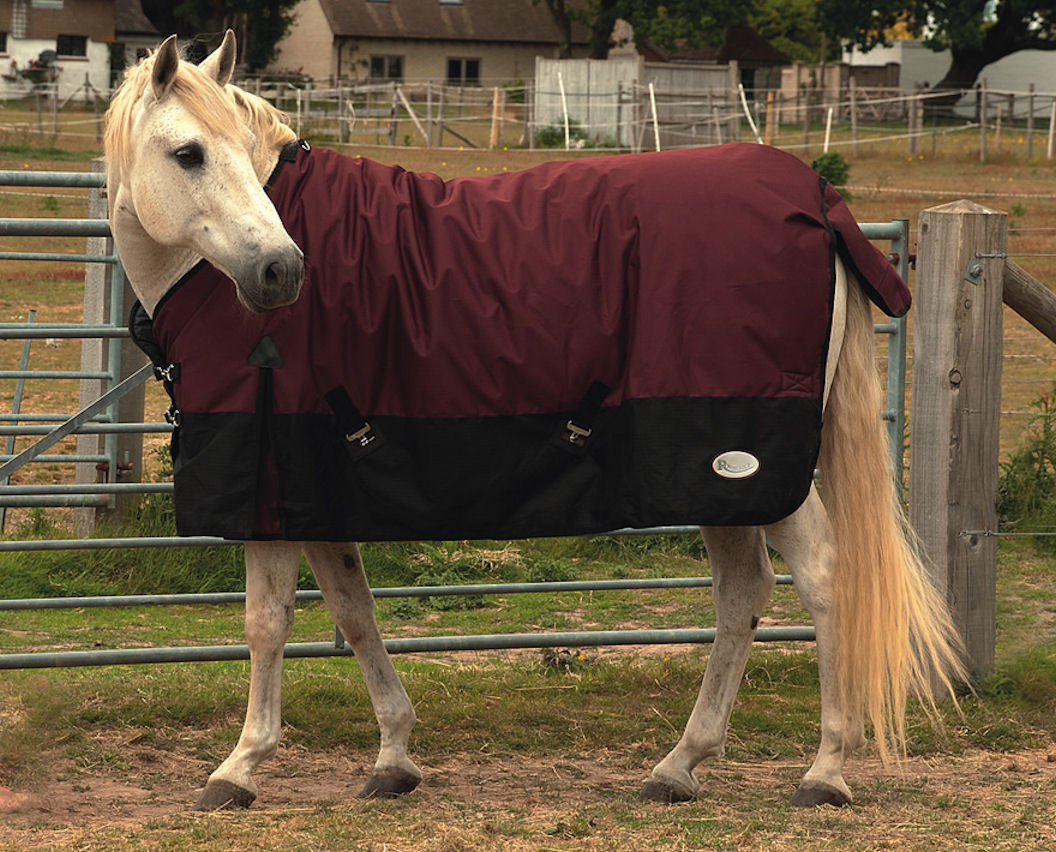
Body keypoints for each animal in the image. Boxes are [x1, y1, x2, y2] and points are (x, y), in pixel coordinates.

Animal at [104, 32, 965, 811]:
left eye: (235, 154)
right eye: (188, 153)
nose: (281, 272)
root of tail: (818, 202)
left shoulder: (266, 483)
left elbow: (266, 624)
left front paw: (239, 768)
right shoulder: (315, 486)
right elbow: (353, 612)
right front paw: (393, 757)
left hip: (746, 463)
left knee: (820, 576)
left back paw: (824, 771)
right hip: (717, 479)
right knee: (743, 593)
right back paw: (679, 766)